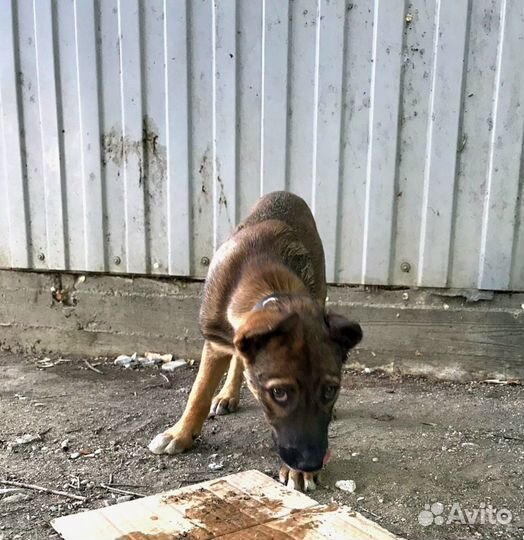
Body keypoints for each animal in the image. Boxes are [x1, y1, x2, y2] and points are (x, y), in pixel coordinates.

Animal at [149, 192, 362, 492]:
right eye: (279, 393)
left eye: (331, 390)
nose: (311, 463)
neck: (267, 284)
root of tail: (285, 194)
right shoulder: (215, 343)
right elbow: (199, 392)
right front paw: (180, 433)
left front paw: (296, 472)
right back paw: (228, 395)